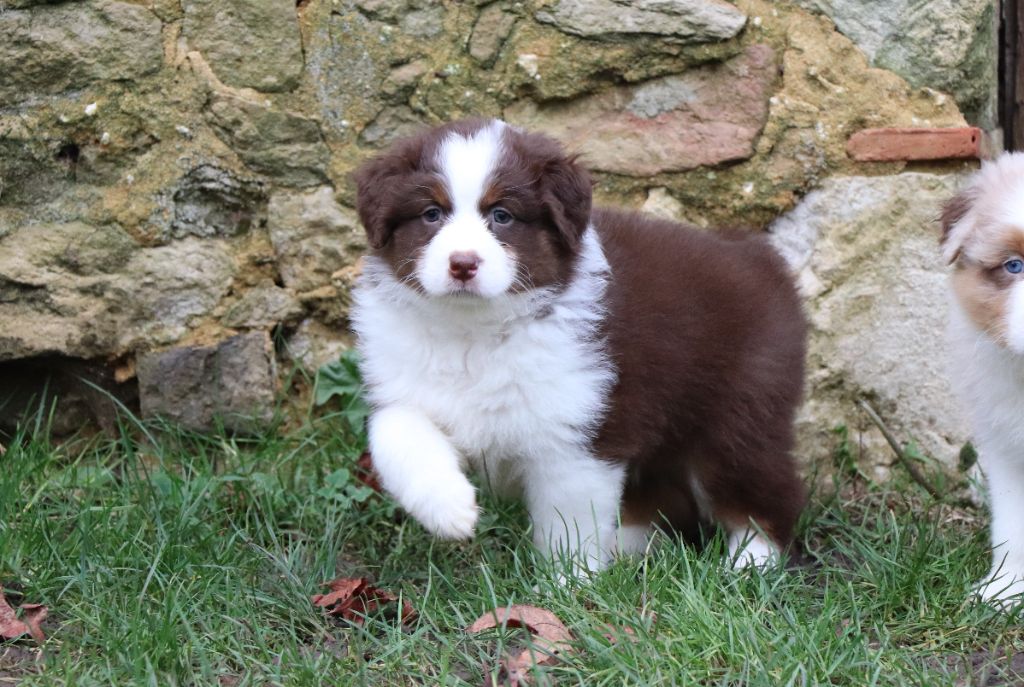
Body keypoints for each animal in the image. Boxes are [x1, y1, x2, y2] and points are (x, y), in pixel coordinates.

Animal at [352, 118, 806, 573]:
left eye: (502, 215)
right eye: (431, 214)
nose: (462, 263)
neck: (473, 330)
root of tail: (760, 258)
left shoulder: (576, 434)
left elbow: (567, 521)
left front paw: (569, 581)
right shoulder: (404, 386)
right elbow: (394, 433)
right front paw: (449, 509)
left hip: (738, 413)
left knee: (763, 491)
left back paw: (750, 562)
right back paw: (628, 545)